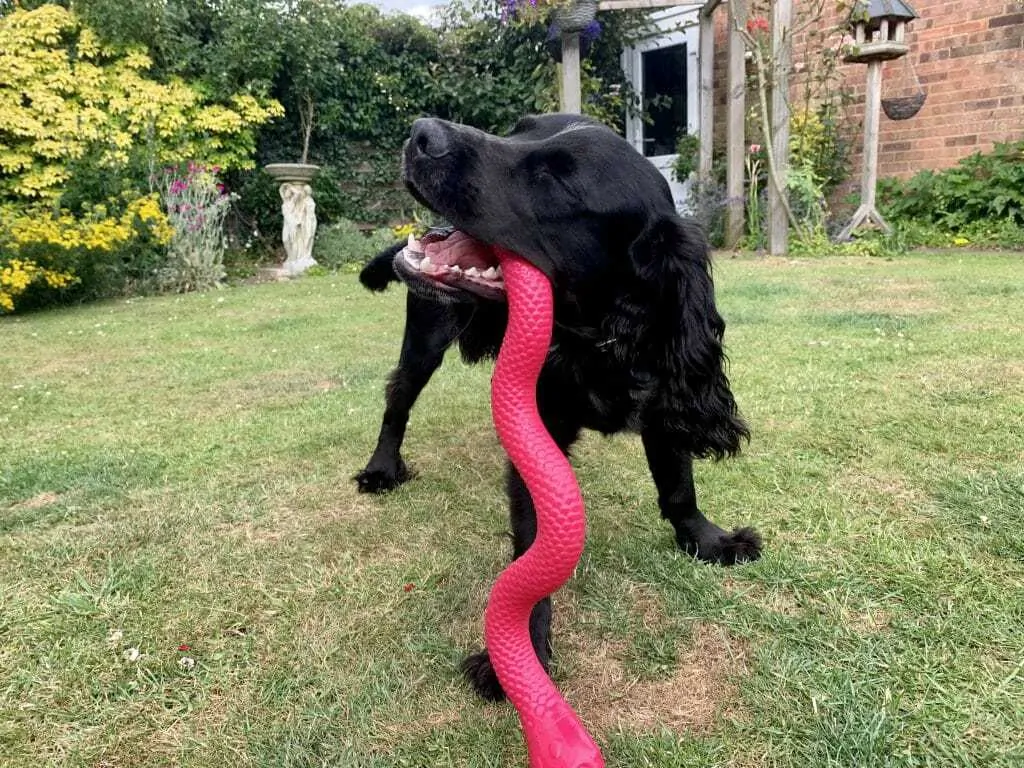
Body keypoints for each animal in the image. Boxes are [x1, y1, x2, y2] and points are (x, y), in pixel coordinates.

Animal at [356, 112, 757, 704]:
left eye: (558, 181)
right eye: (518, 130)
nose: (423, 133)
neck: (598, 339)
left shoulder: (664, 402)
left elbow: (679, 486)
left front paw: (708, 540)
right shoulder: (537, 436)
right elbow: (534, 551)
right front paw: (519, 653)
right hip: (424, 338)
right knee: (396, 402)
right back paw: (382, 468)